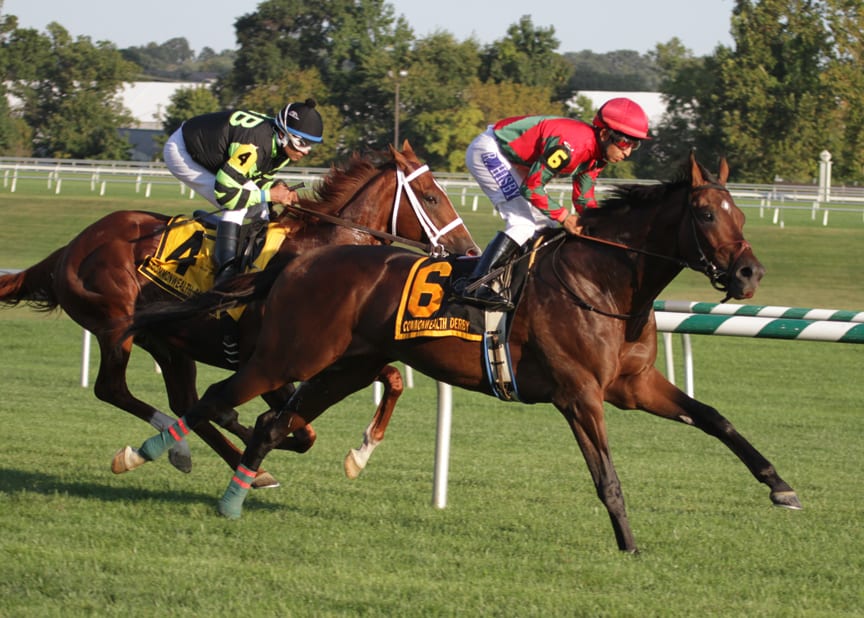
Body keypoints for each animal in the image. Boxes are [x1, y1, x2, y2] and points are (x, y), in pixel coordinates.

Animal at [1, 141, 480, 486]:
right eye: (432, 197)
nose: (470, 251)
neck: (321, 251)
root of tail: (70, 247)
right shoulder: (271, 358)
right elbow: (301, 430)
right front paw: (258, 436)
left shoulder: (343, 352)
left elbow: (392, 379)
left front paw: (358, 454)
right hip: (115, 328)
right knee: (113, 389)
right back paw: (182, 447)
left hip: (168, 343)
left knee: (183, 399)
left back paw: (205, 450)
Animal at [116, 153, 804, 548]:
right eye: (707, 216)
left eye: (741, 212)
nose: (750, 275)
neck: (602, 281)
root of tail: (300, 262)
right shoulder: (580, 394)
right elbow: (606, 475)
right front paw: (629, 544)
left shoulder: (631, 387)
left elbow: (716, 418)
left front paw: (781, 487)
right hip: (288, 356)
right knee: (216, 397)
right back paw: (148, 452)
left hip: (344, 366)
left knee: (270, 421)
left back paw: (234, 496)